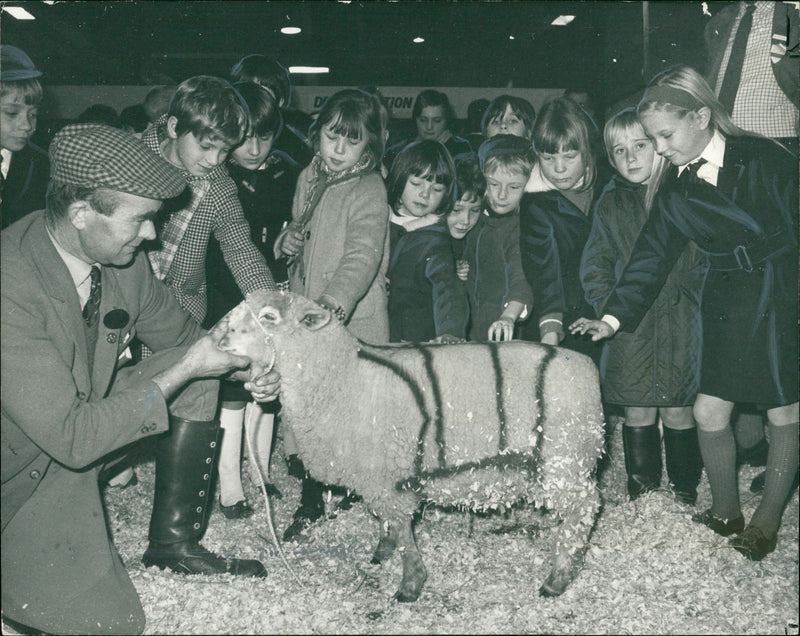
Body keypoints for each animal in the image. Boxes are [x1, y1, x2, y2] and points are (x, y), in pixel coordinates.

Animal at [216, 290, 604, 600]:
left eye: (268, 317)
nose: (217, 336)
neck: (344, 375)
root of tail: (587, 368)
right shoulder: (379, 476)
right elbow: (387, 523)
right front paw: (383, 551)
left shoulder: (389, 478)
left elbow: (402, 528)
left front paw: (409, 585)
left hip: (563, 461)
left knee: (583, 510)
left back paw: (557, 579)